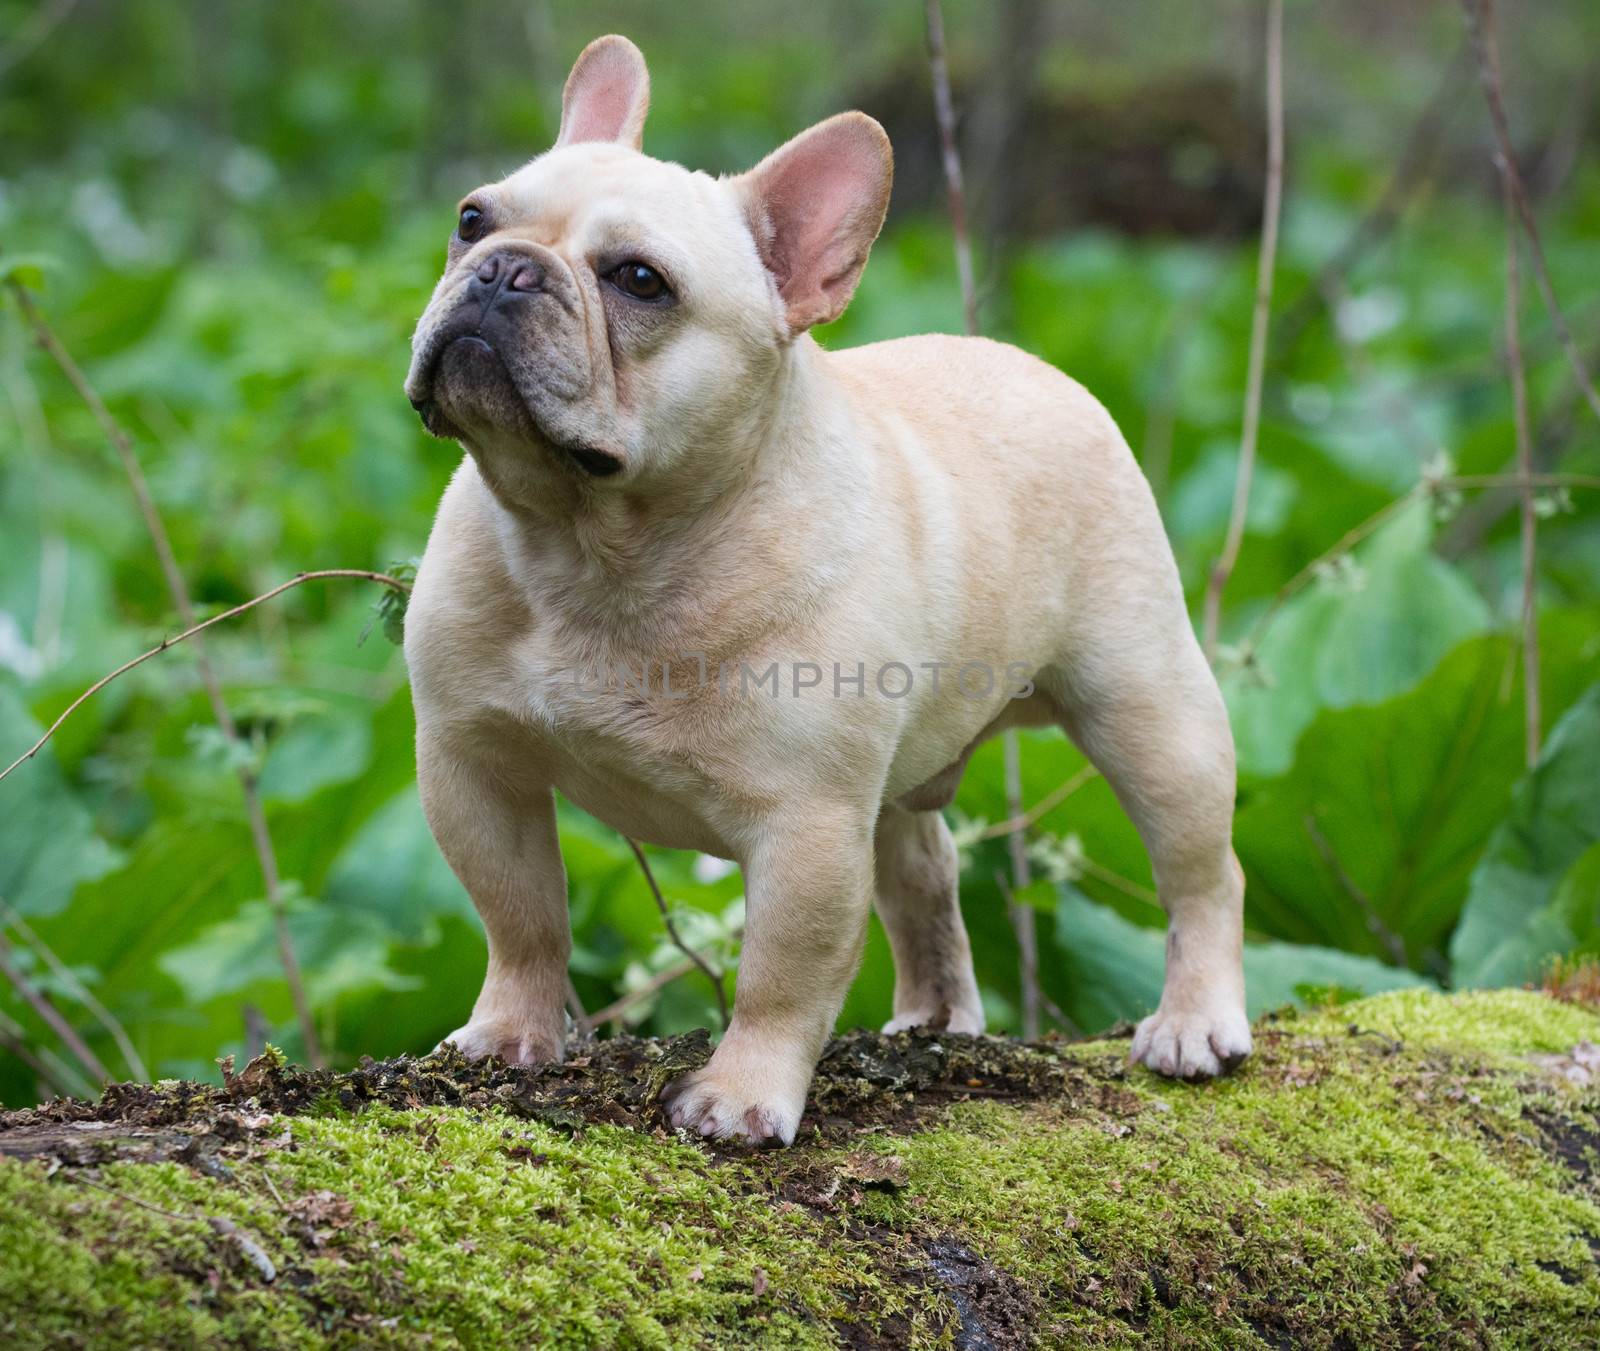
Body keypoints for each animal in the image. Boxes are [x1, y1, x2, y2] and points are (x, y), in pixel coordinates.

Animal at [400, 37, 1248, 1146]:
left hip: (1146, 708)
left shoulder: (804, 827)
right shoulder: (473, 762)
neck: (597, 548)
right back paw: (934, 1019)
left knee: (1200, 871)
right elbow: (520, 915)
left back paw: (1195, 1023)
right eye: (471, 218)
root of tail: (1041, 369)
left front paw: (741, 1095)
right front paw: (509, 1033)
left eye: (639, 281)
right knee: (923, 871)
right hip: (895, 780)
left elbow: (781, 975)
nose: (504, 269)